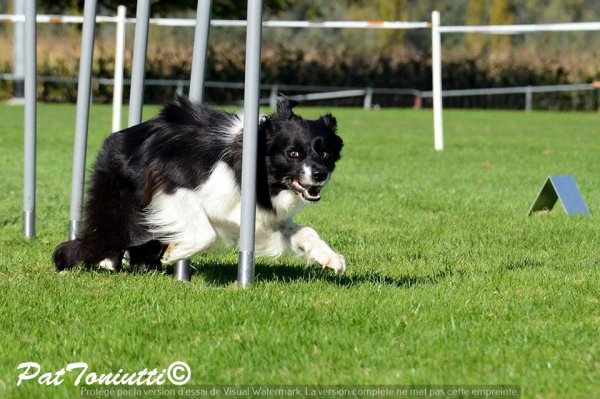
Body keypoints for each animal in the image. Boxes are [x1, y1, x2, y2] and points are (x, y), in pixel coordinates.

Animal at [55, 97, 346, 276]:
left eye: (325, 153)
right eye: (293, 153)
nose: (320, 175)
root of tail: (117, 138)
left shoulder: (254, 218)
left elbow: (304, 231)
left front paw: (331, 258)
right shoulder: (173, 186)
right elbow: (205, 234)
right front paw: (174, 254)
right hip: (120, 212)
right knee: (91, 240)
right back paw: (74, 262)